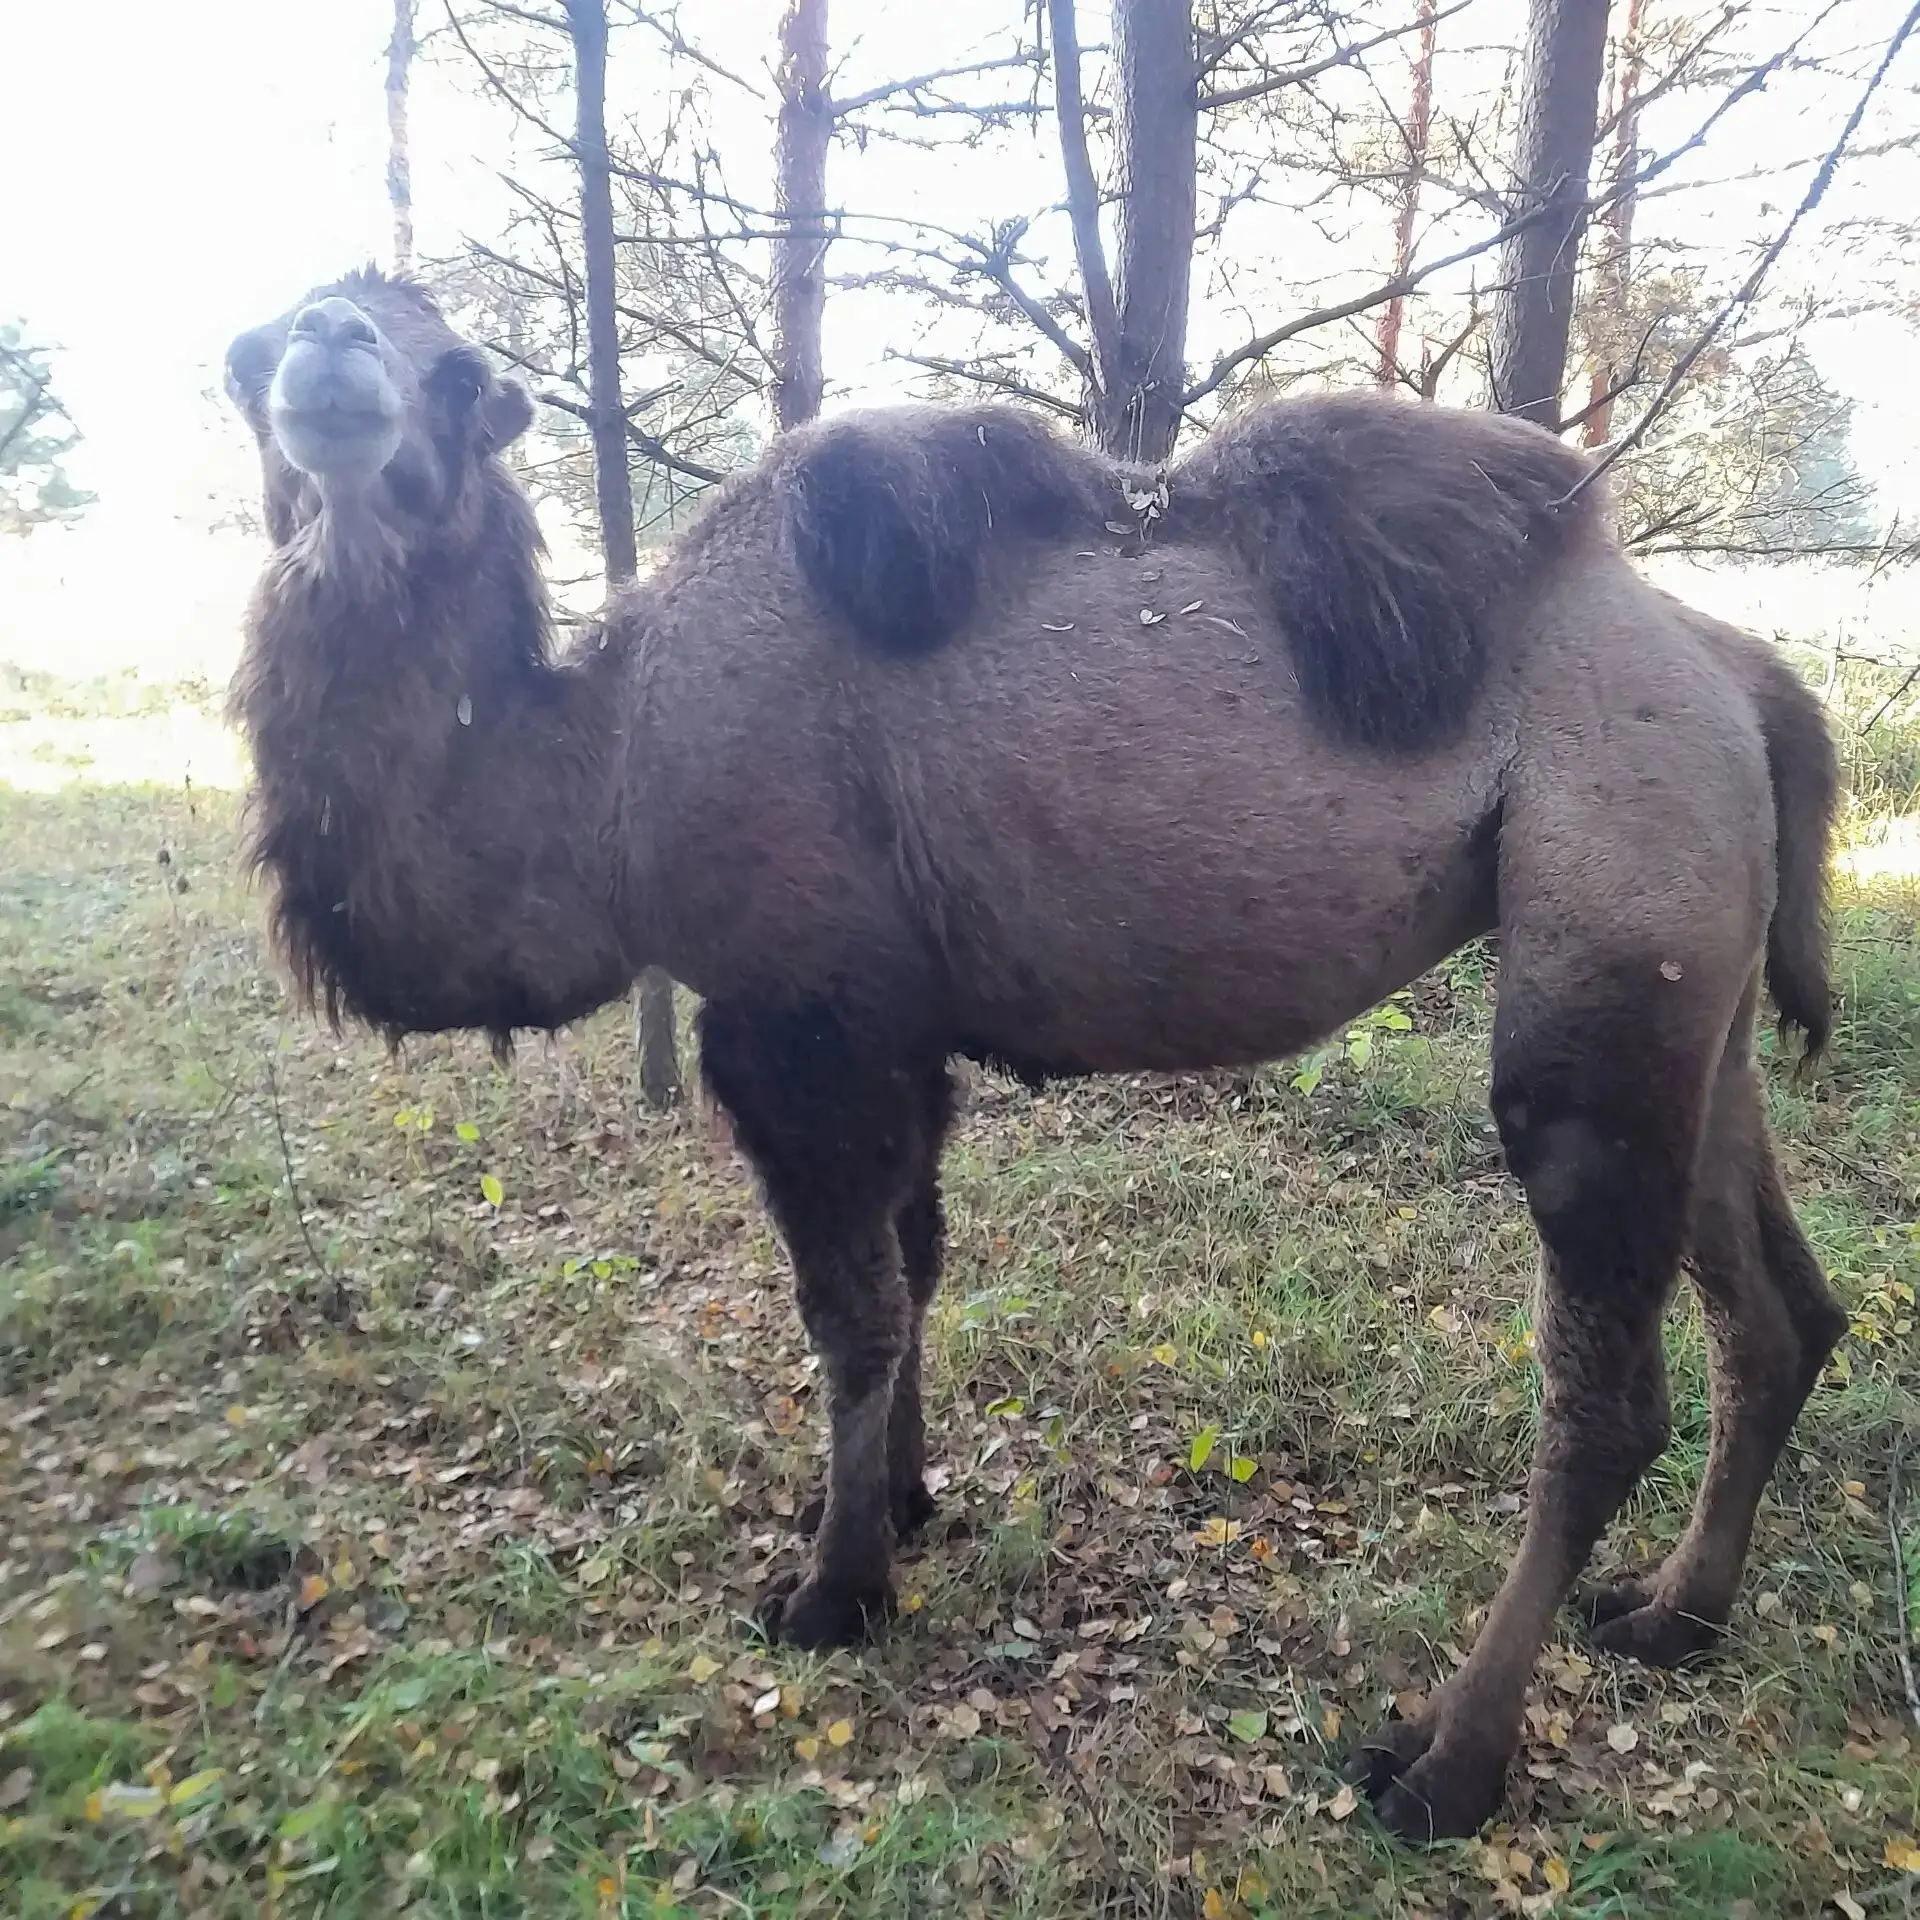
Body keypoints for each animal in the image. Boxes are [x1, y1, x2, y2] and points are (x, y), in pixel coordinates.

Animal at [224, 269, 1845, 1842]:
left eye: (457, 379)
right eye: (255, 350)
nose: (326, 347)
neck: (607, 766)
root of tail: (1735, 672)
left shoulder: (798, 1021)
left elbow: (850, 1314)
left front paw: (833, 1591)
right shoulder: (898, 1023)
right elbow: (917, 1267)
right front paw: (903, 1500)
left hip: (1607, 915)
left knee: (1605, 1392)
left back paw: (1444, 1765)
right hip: (1690, 974)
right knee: (1778, 1312)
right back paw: (1674, 1619)